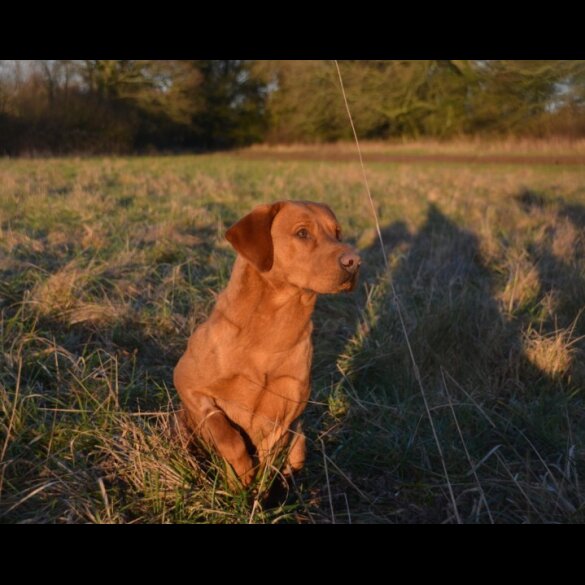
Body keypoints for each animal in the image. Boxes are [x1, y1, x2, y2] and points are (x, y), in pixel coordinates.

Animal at [173, 201, 358, 484]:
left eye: (337, 233)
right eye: (302, 233)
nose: (354, 261)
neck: (272, 332)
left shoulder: (281, 419)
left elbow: (268, 467)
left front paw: (261, 490)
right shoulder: (187, 383)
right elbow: (226, 433)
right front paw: (241, 475)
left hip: (299, 437)